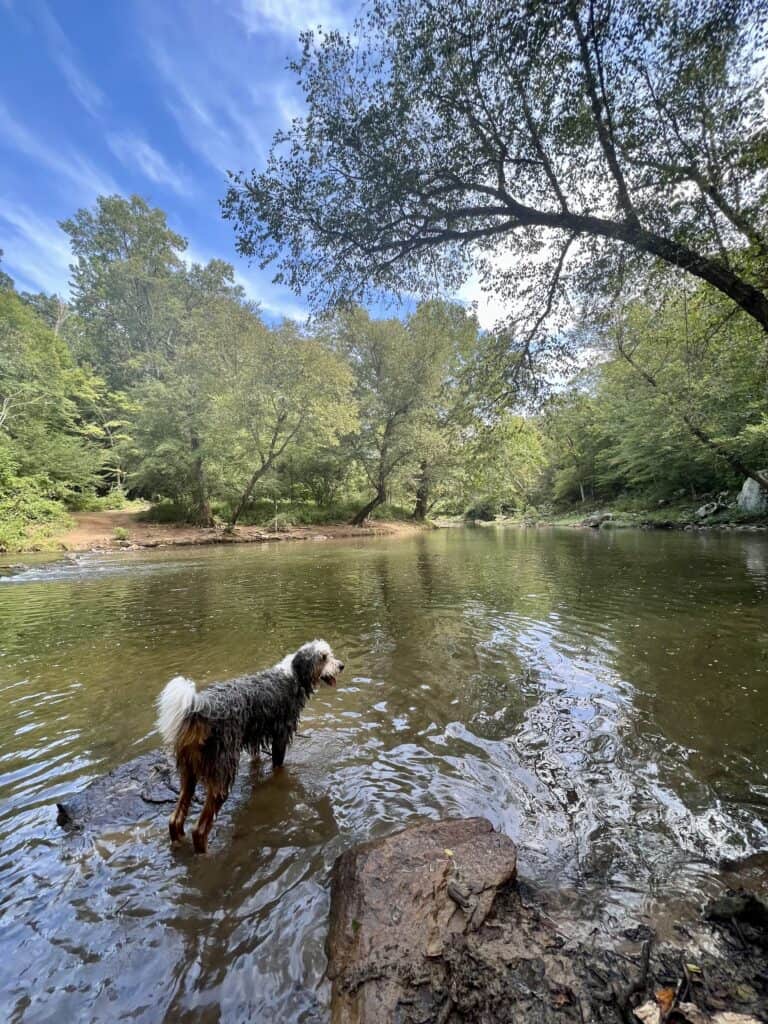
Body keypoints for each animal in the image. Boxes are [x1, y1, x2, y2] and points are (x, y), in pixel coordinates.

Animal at [156, 634, 342, 851]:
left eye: (329, 654)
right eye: (323, 657)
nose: (341, 666)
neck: (293, 675)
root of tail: (199, 709)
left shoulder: (255, 740)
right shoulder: (280, 737)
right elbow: (278, 765)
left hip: (188, 774)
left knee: (174, 819)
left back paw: (178, 843)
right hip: (221, 775)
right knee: (199, 830)